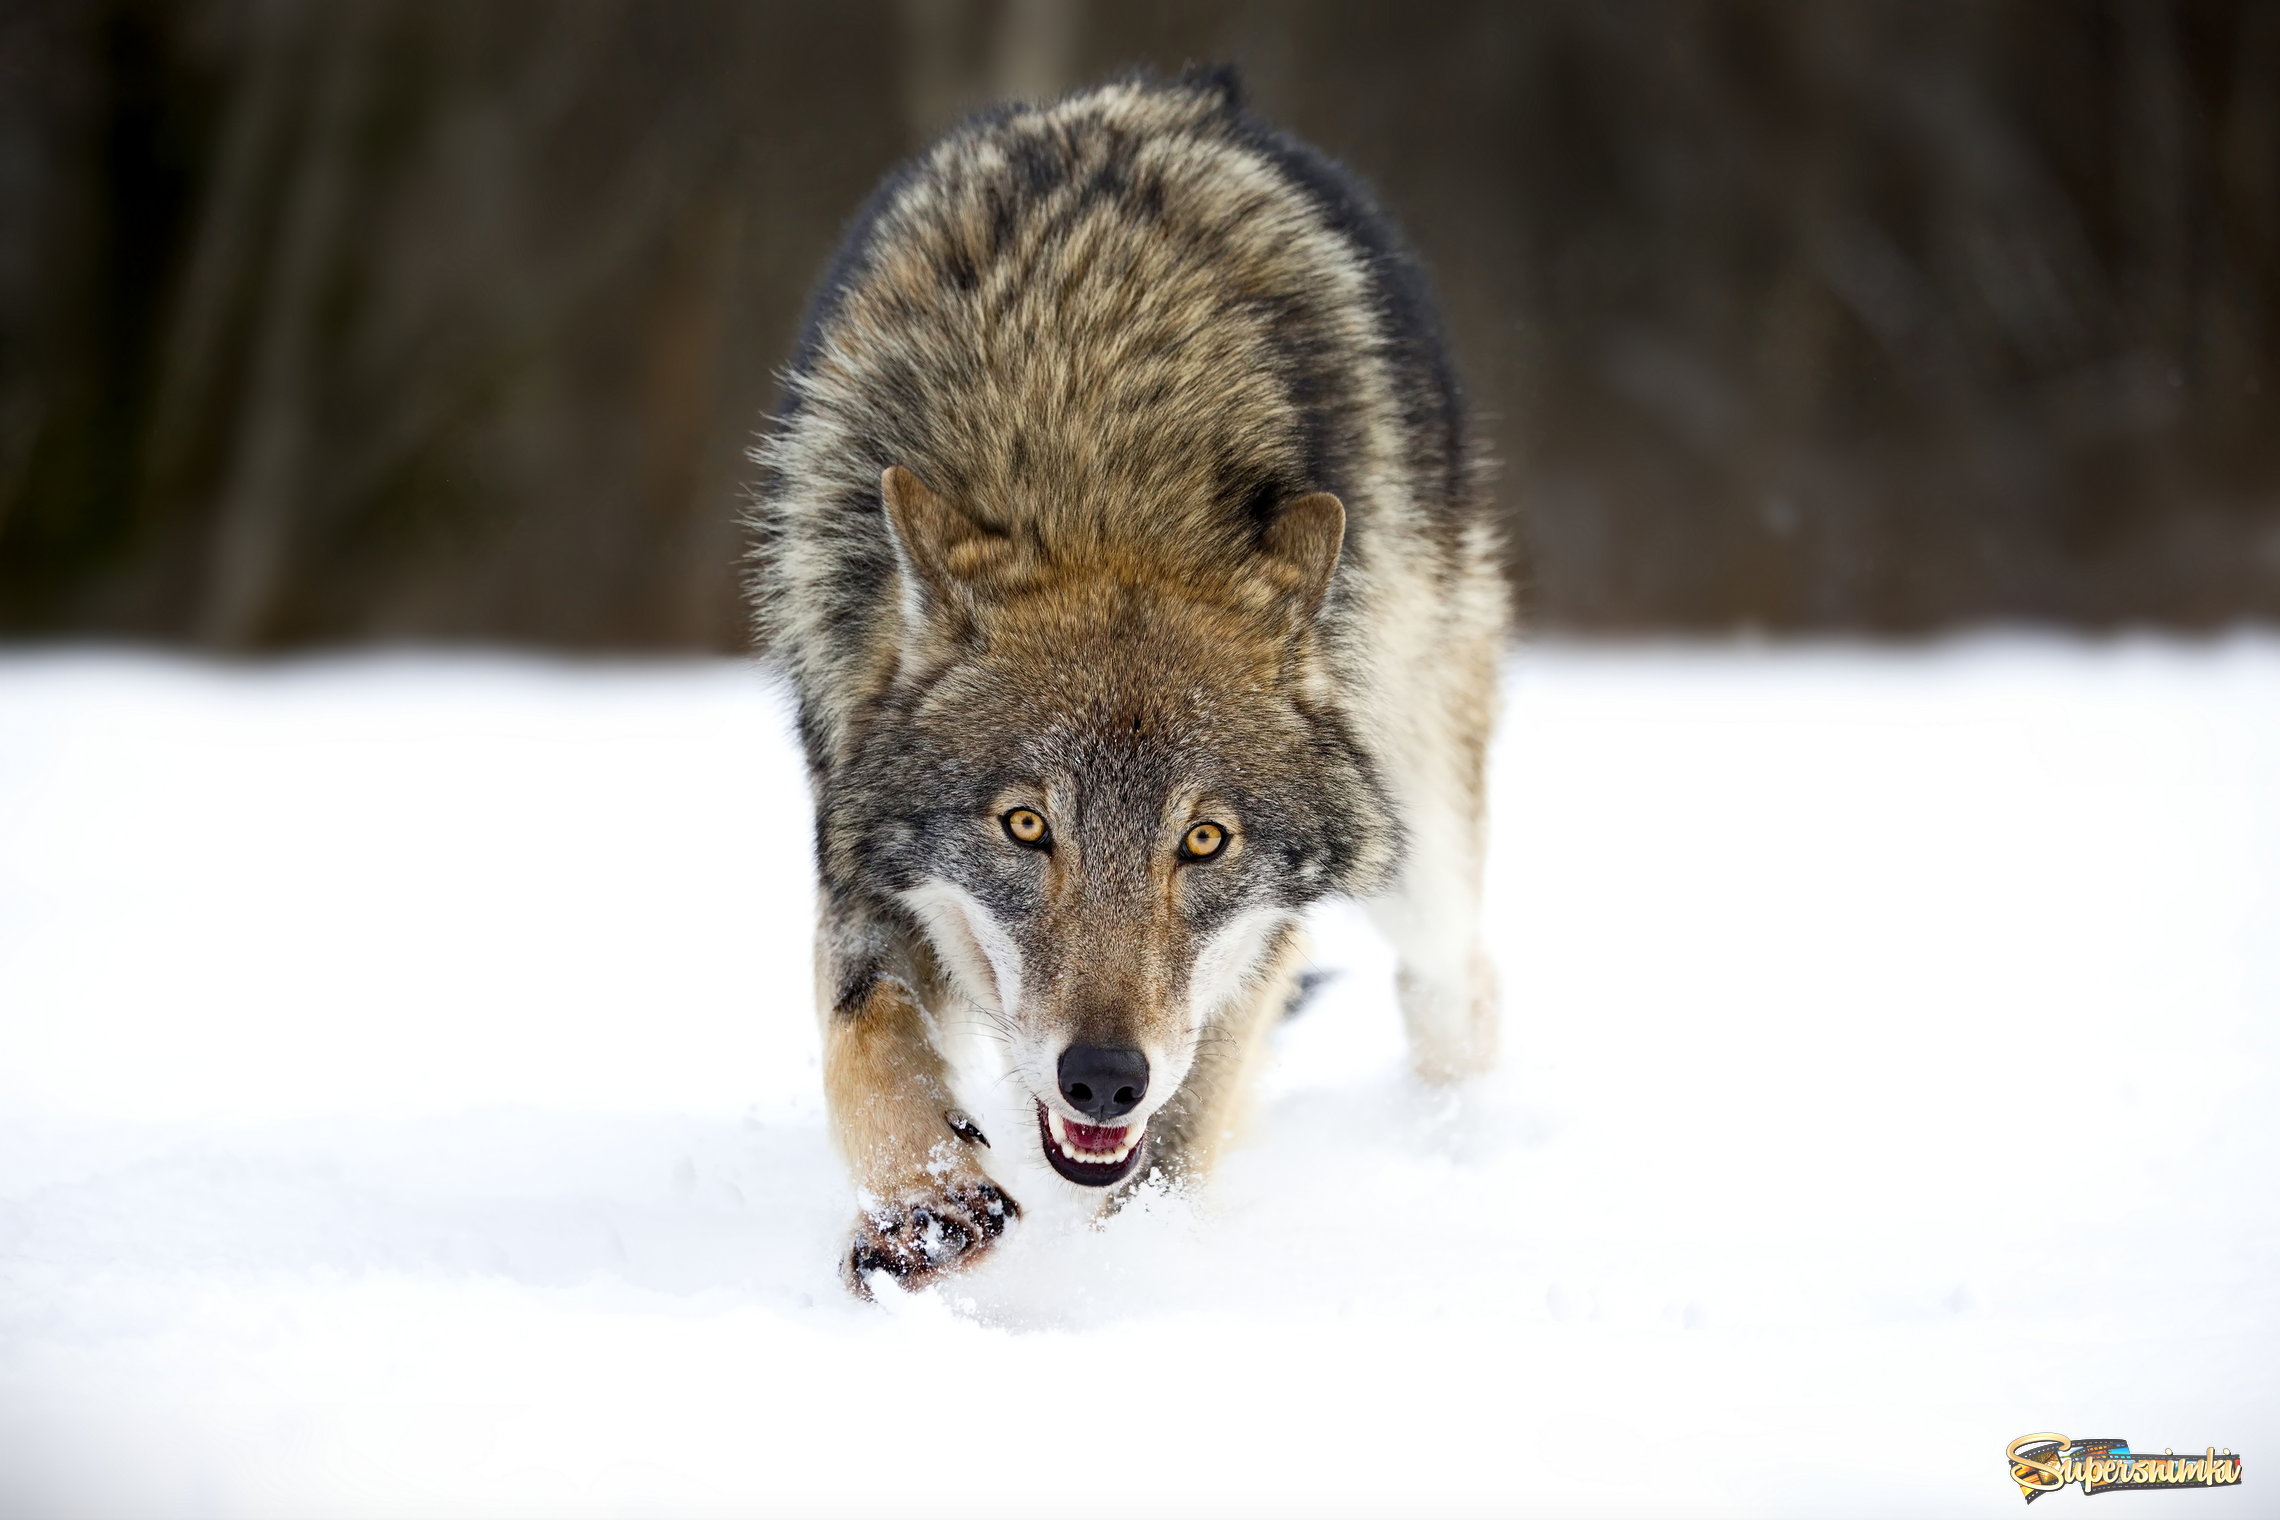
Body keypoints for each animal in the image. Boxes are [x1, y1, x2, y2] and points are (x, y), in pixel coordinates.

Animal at [747, 65, 1513, 1294]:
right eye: (1024, 825)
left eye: (1204, 840)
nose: (1103, 1077)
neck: (1091, 448)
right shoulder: (857, 842)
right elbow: (862, 1030)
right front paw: (925, 1202)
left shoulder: (1251, 955)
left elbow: (1179, 1137)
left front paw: (1124, 1287)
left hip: (1422, 846)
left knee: (1457, 991)